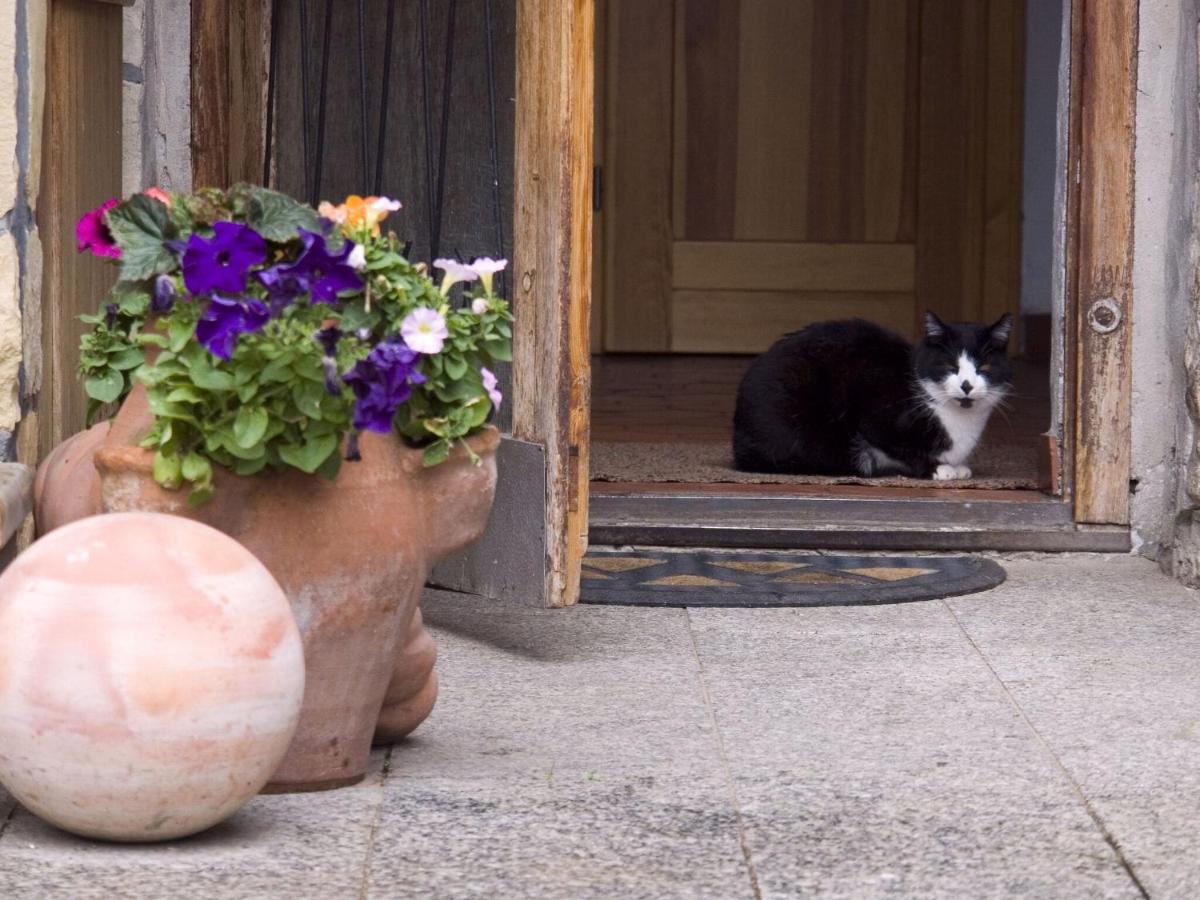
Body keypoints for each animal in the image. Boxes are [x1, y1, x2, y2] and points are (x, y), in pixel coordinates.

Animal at [729, 314, 1012, 482]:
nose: (966, 385)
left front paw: (959, 466)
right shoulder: (875, 411)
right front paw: (936, 468)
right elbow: (899, 448)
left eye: (984, 366)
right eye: (950, 366)